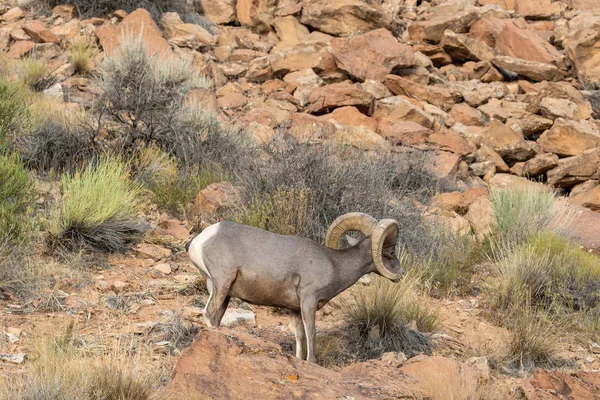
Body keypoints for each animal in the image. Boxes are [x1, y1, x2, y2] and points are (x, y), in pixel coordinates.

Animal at [188, 212, 404, 362]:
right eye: (390, 251)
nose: (400, 274)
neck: (334, 264)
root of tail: (199, 241)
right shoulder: (309, 300)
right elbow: (311, 333)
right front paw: (312, 362)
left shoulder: (294, 309)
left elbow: (299, 337)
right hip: (222, 283)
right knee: (209, 313)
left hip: (224, 293)